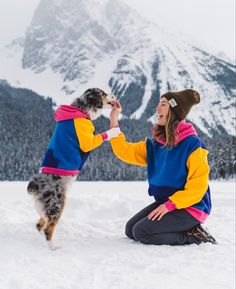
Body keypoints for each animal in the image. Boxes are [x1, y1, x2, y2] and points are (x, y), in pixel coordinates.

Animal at [26, 88, 121, 248]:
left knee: (39, 225)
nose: (114, 94)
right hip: (57, 203)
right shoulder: (86, 140)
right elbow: (99, 136)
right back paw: (53, 248)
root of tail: (35, 184)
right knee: (47, 229)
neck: (81, 110)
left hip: (46, 207)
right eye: (102, 93)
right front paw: (114, 131)